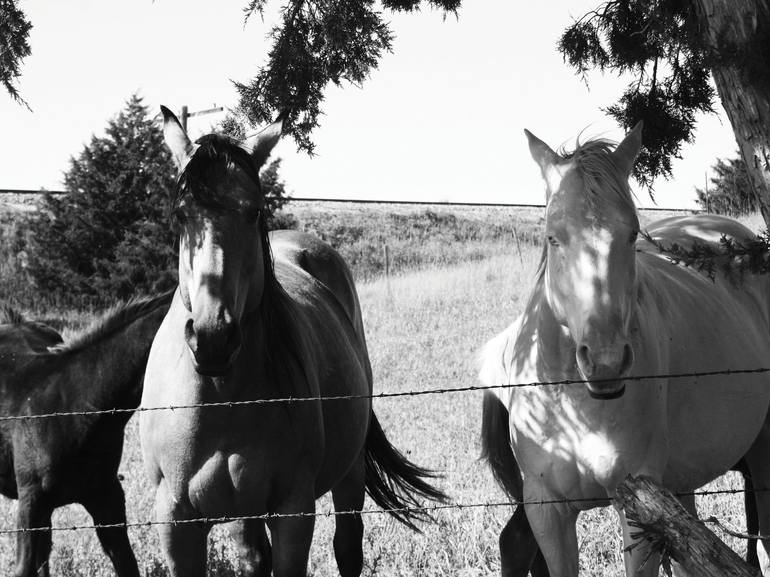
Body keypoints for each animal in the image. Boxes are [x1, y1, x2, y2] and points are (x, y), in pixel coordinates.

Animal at [141, 107, 448, 576]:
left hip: (349, 474)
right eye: (180, 215)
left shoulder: (293, 512)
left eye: (254, 212)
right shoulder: (176, 523)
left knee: (348, 545)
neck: (220, 398)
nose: (214, 338)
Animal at [476, 122, 768, 576]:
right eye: (553, 237)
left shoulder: (640, 513)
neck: (574, 404)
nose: (605, 362)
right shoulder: (546, 510)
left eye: (632, 235)